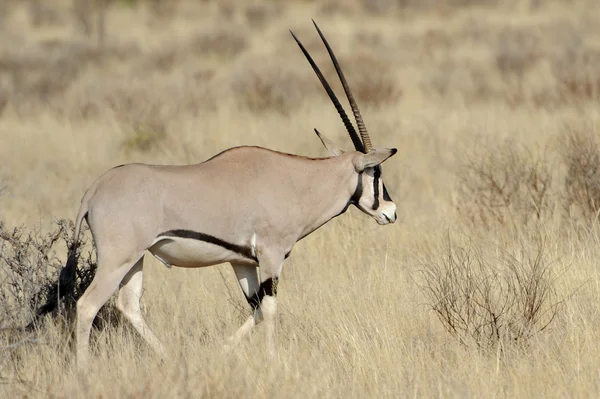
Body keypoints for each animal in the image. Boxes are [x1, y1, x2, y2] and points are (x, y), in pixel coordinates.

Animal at [69, 20, 398, 368]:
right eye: (376, 173)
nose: (390, 212)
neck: (298, 180)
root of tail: (93, 191)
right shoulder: (271, 255)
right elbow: (270, 308)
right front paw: (272, 360)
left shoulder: (242, 261)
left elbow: (256, 308)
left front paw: (221, 352)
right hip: (117, 259)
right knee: (87, 305)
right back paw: (83, 370)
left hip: (135, 258)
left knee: (128, 305)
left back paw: (170, 358)